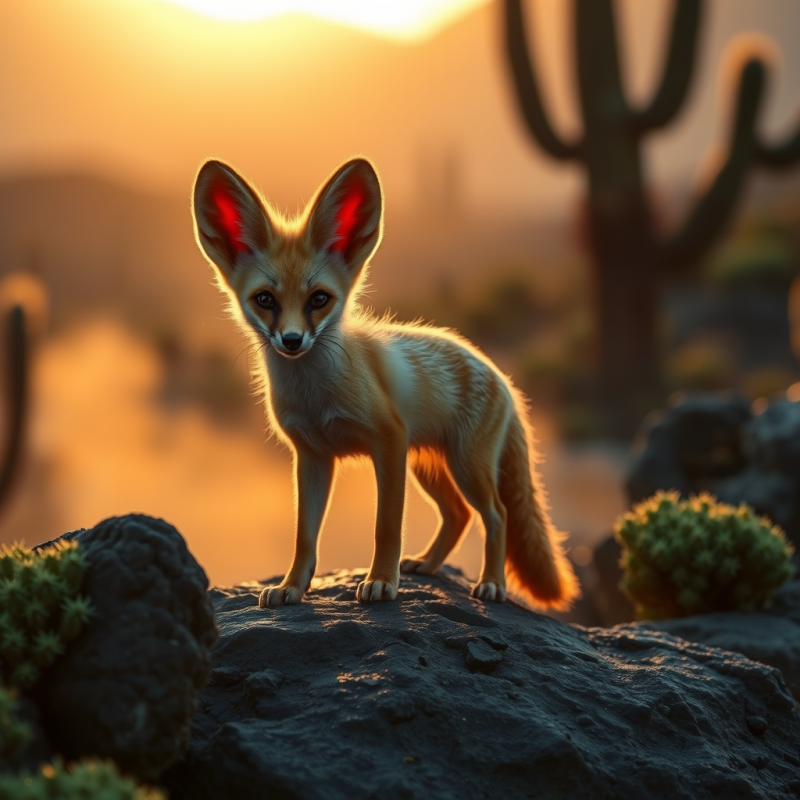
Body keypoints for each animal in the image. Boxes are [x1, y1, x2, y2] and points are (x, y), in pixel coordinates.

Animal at [191, 156, 579, 611]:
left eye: (319, 299)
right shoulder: (312, 456)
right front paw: (292, 587)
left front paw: (380, 582)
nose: (291, 341)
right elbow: (305, 536)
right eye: (265, 300)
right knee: (459, 515)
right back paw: (427, 565)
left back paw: (491, 583)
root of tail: (502, 376)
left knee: (496, 514)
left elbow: (386, 526)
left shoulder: (388, 441)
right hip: (430, 466)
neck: (315, 397)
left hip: (466, 466)